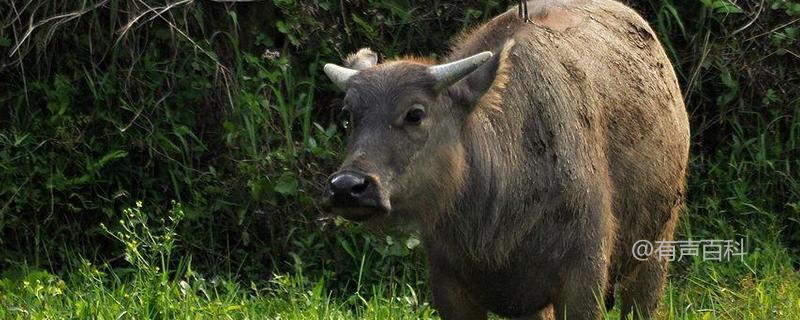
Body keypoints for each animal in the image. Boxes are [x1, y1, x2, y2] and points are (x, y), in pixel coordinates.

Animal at [322, 1, 692, 318]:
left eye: (415, 113)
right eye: (348, 115)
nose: (347, 187)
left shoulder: (584, 276)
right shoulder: (447, 283)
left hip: (656, 245)